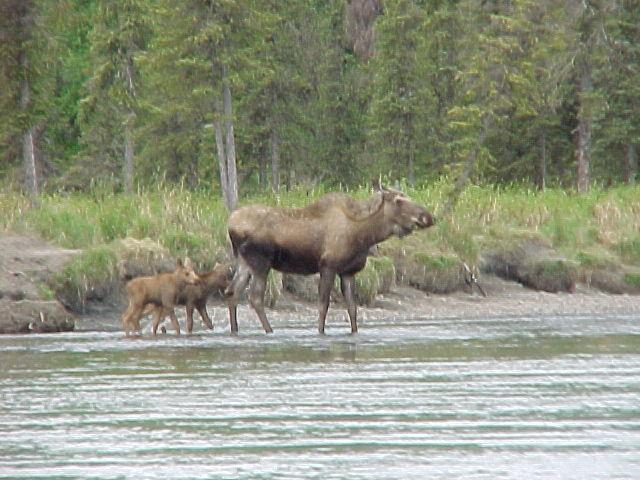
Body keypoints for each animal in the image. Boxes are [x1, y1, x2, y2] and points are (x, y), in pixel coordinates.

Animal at [225, 184, 436, 334]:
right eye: (399, 201)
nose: (428, 216)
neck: (364, 235)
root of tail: (230, 224)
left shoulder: (348, 272)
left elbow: (352, 308)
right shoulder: (328, 266)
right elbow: (323, 305)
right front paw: (320, 332)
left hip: (244, 262)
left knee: (232, 292)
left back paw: (235, 330)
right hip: (261, 262)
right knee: (255, 297)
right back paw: (270, 331)